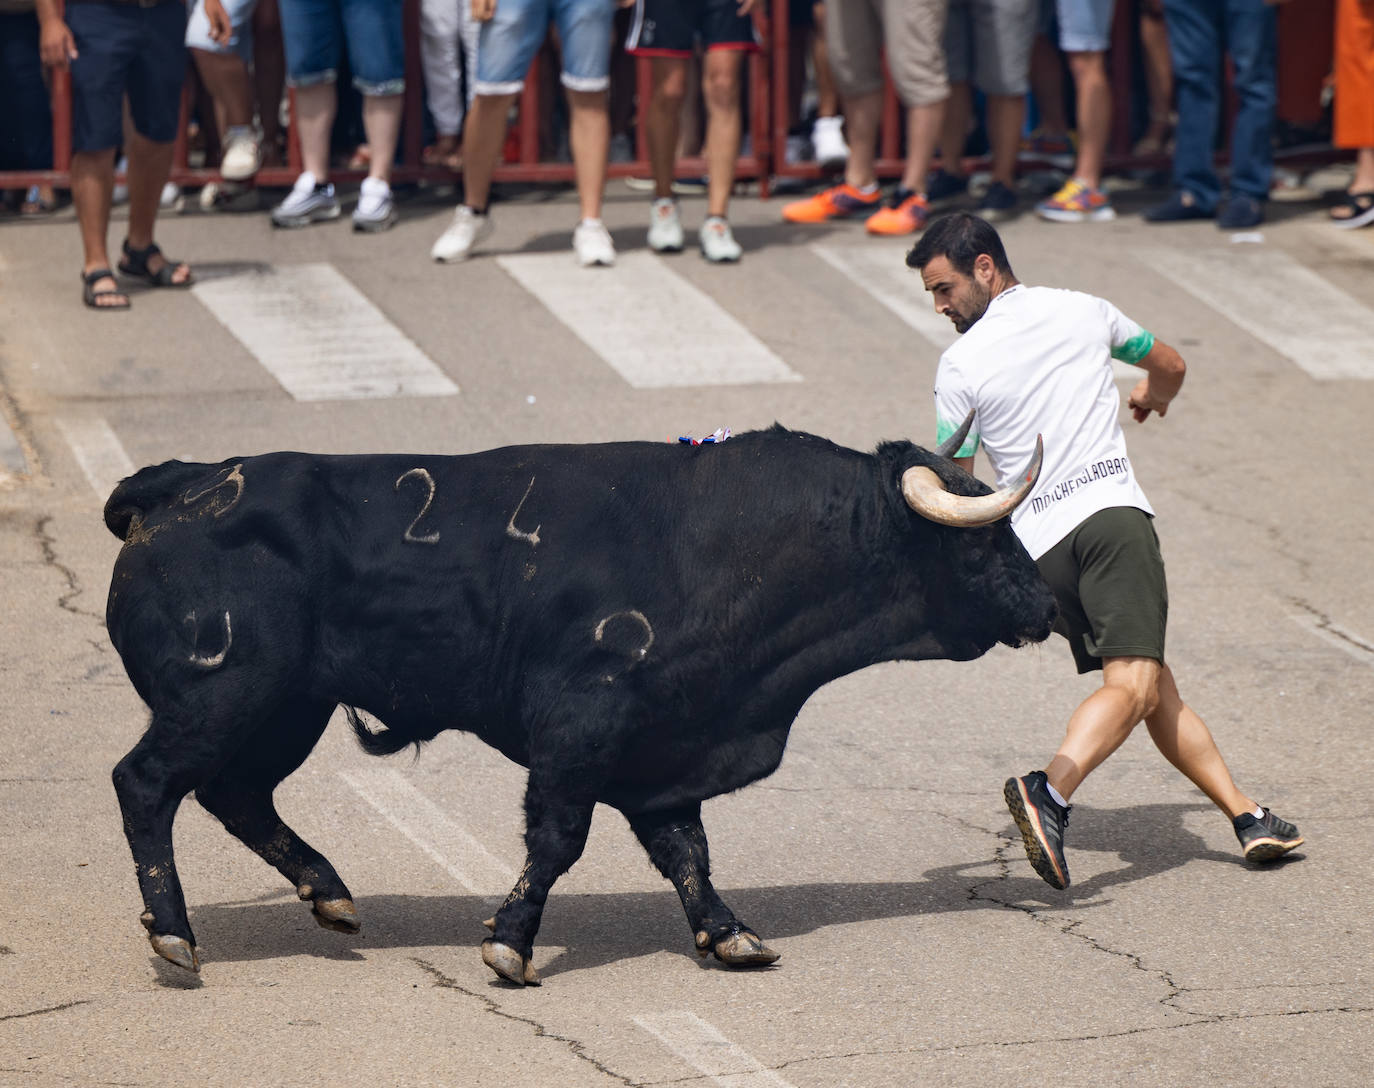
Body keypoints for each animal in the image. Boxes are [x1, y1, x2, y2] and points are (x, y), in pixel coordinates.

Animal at [104, 425, 1049, 983]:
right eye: (986, 540)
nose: (1045, 607)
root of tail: (185, 484)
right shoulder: (578, 728)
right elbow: (558, 841)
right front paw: (510, 942)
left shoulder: (666, 750)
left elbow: (687, 851)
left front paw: (729, 934)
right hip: (225, 694)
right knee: (147, 784)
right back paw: (174, 935)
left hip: (285, 710)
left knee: (235, 794)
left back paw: (328, 895)